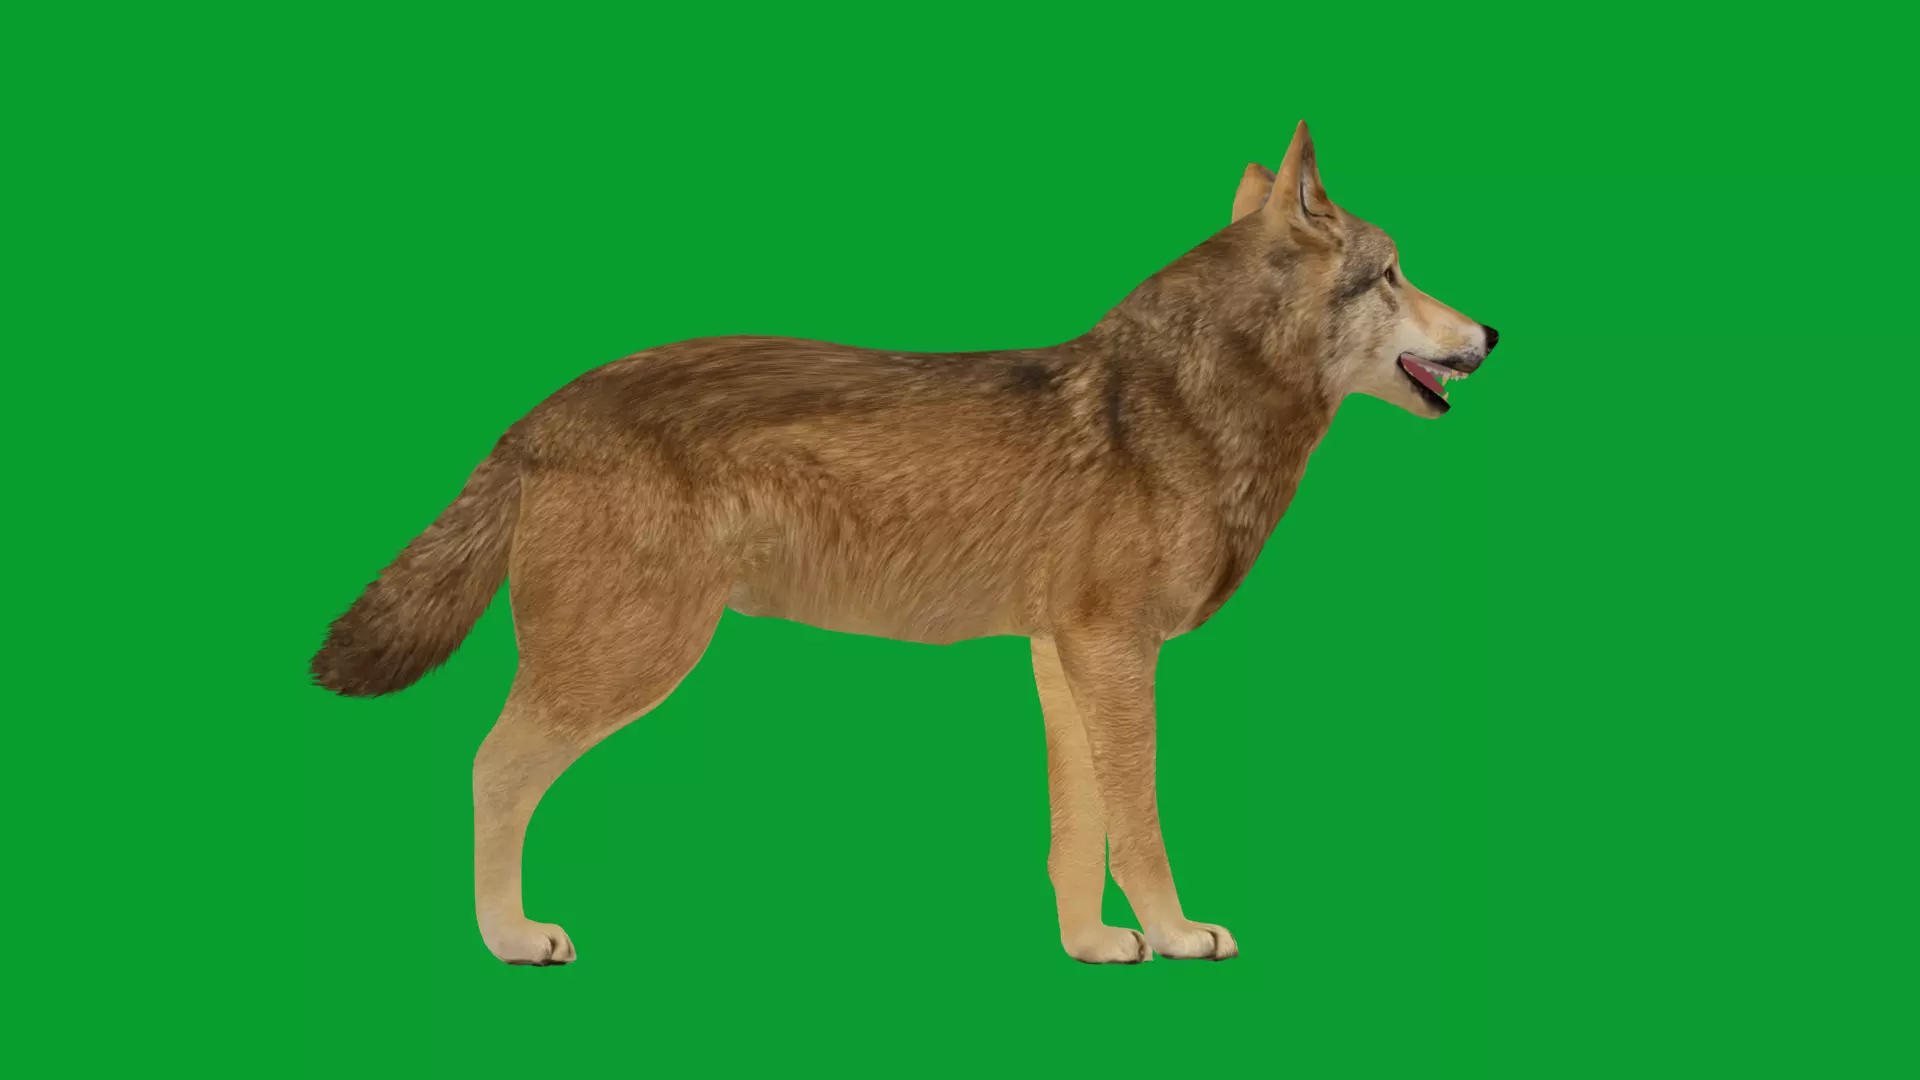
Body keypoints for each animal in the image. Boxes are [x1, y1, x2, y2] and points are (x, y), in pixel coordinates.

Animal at [311, 120, 1499, 966]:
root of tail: (539, 413)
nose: (1491, 332)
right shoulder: (1118, 653)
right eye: (1395, 273)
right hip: (630, 661)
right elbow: (1141, 820)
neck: (1193, 406)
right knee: (491, 767)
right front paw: (1173, 935)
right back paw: (510, 939)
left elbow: (1078, 830)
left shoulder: (1063, 658)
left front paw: (1093, 946)